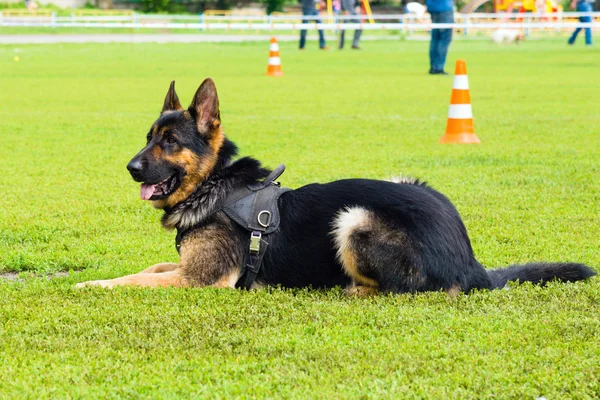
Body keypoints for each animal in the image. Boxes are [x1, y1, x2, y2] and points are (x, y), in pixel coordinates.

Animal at [78, 79, 596, 296]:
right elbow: (150, 265)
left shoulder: (199, 281)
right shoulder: (185, 267)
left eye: (169, 142)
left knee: (412, 292)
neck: (216, 186)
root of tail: (472, 264)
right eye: (148, 137)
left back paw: (347, 290)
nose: (130, 167)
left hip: (353, 218)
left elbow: (136, 279)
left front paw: (91, 283)